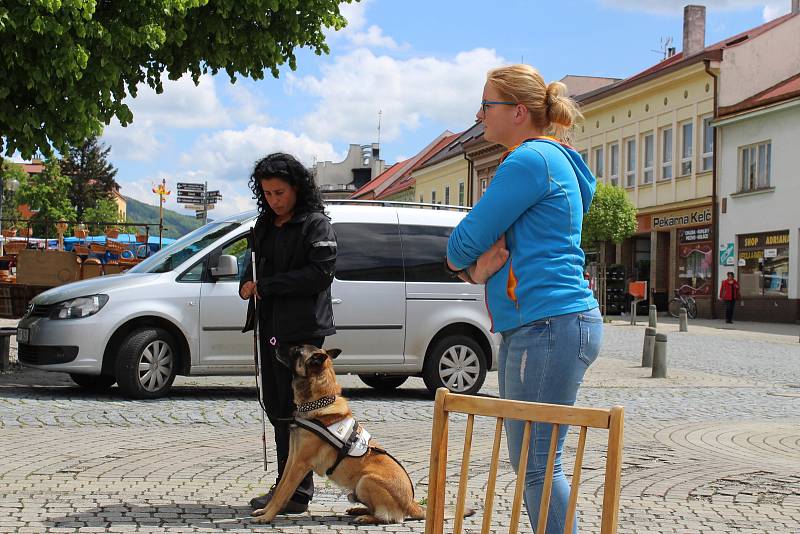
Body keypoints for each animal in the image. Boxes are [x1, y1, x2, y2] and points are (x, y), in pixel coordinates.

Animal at [252, 346, 428, 524]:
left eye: (296, 350)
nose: (274, 346)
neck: (317, 404)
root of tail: (411, 503)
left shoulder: (299, 464)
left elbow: (283, 493)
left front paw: (267, 517)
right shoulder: (291, 459)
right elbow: (280, 487)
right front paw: (265, 511)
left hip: (366, 480)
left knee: (387, 517)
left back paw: (365, 517)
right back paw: (358, 510)